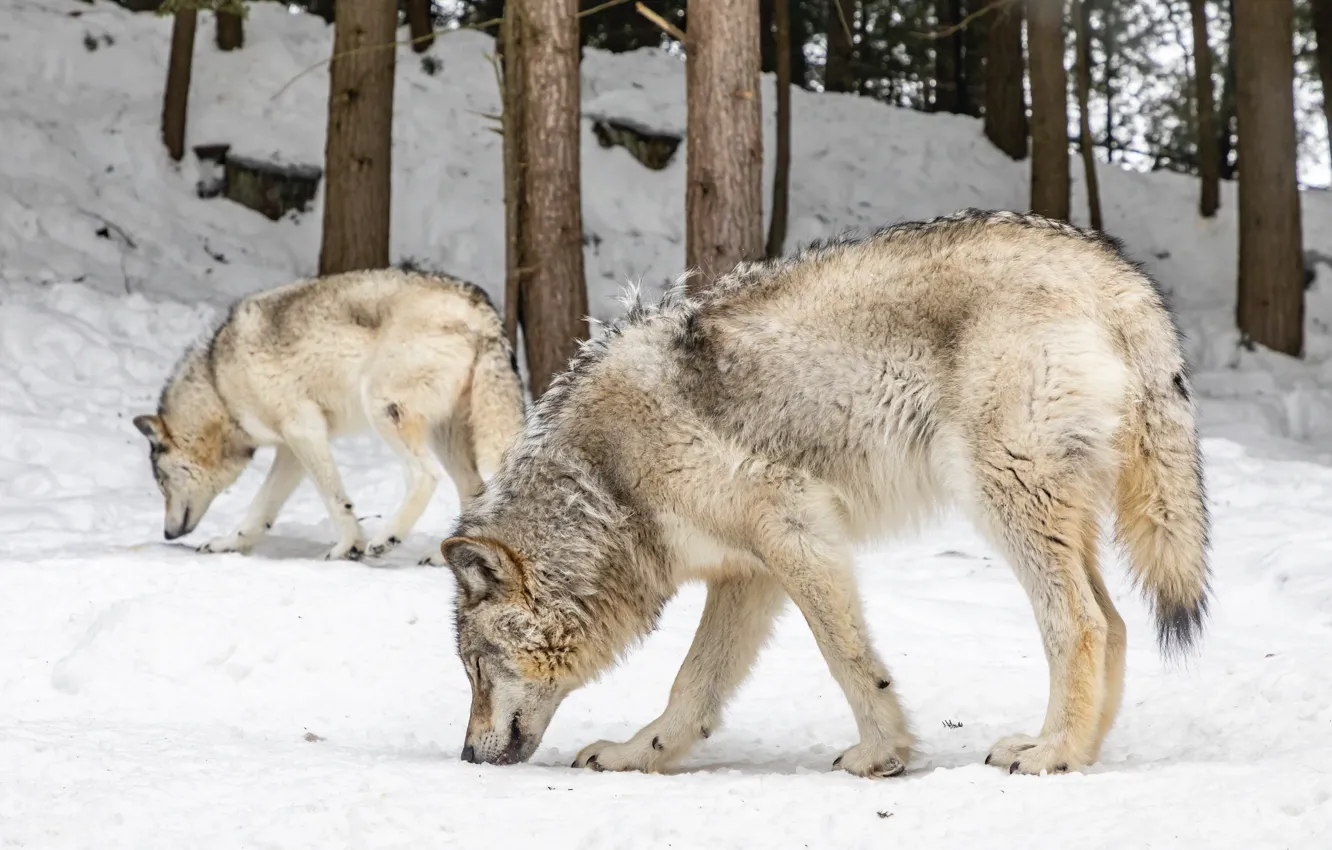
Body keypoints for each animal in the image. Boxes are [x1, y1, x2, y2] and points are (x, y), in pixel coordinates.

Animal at [133, 267, 526, 563]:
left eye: (161, 483)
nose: (167, 533)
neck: (219, 385)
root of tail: (481, 308)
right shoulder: (290, 449)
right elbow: (260, 508)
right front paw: (229, 543)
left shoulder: (304, 429)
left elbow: (335, 497)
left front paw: (349, 546)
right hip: (445, 436)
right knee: (473, 491)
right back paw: (442, 556)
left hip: (385, 411)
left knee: (425, 476)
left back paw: (387, 538)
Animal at [439, 209, 1212, 778]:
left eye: (475, 669)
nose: (468, 755)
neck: (609, 479)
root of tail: (1114, 272)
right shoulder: (747, 573)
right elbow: (693, 685)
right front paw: (638, 754)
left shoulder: (796, 530)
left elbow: (847, 658)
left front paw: (881, 755)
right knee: (1115, 623)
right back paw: (1079, 754)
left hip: (1004, 501)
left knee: (1080, 624)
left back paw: (1050, 753)